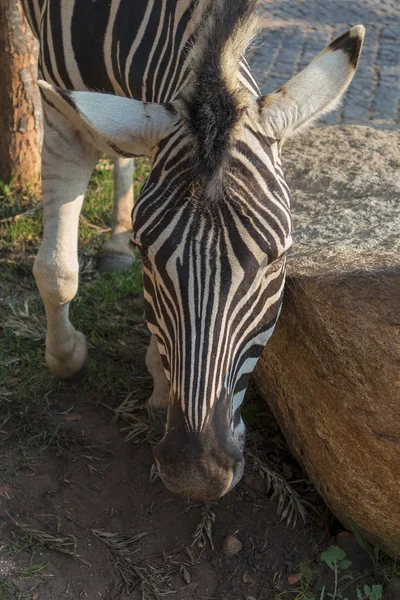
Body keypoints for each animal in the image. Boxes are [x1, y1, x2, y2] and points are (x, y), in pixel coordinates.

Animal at [21, 0, 366, 500]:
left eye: (278, 260)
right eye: (147, 256)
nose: (197, 475)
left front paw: (160, 382)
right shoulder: (60, 111)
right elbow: (56, 271)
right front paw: (67, 359)